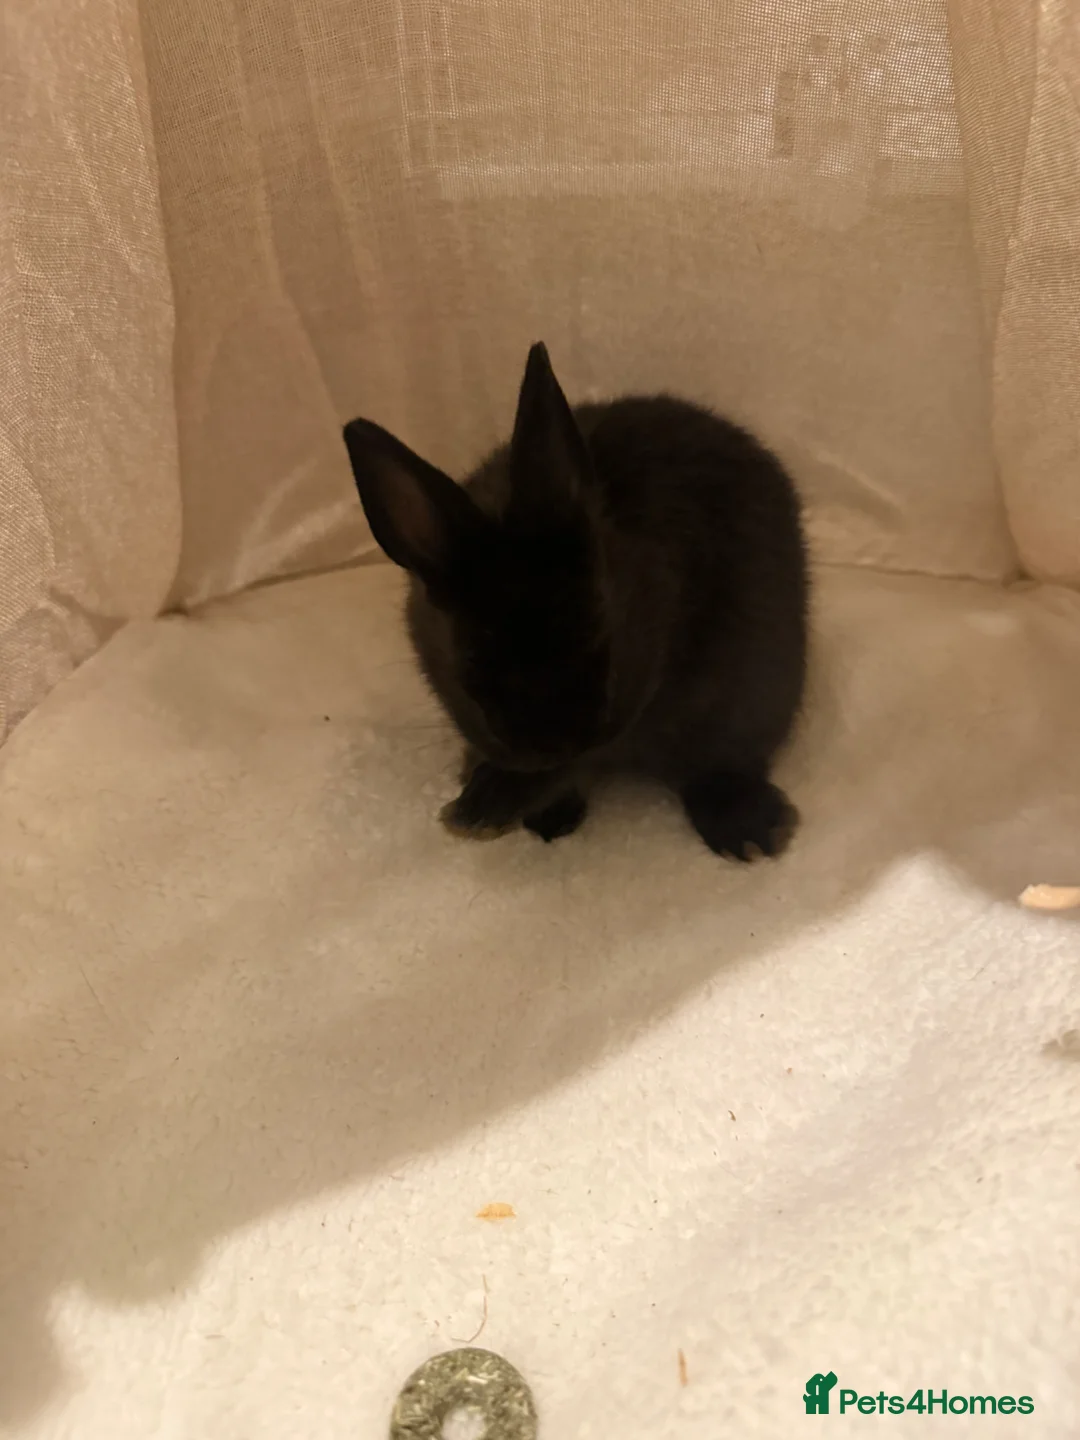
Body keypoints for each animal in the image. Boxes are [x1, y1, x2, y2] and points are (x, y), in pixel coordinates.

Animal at [342, 342, 808, 859]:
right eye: (470, 669)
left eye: (602, 635)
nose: (554, 741)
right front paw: (485, 803)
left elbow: (567, 766)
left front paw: (479, 809)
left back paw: (749, 832)